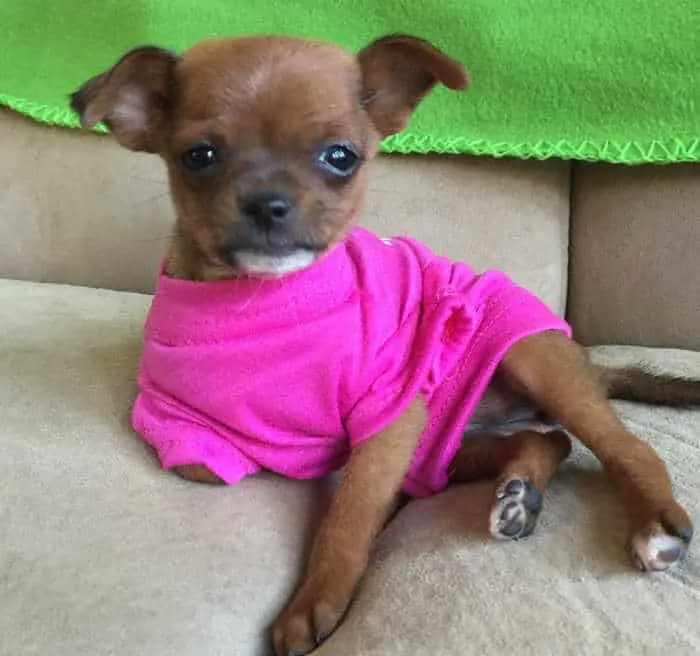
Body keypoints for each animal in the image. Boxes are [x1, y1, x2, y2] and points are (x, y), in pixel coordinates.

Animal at [72, 33, 700, 652]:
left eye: (341, 157)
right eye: (198, 156)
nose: (268, 203)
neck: (260, 301)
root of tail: (586, 361)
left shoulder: (390, 416)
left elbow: (349, 512)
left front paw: (313, 603)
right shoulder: (176, 424)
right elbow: (210, 466)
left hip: (532, 359)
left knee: (625, 448)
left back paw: (653, 524)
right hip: (440, 445)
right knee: (543, 441)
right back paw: (519, 494)